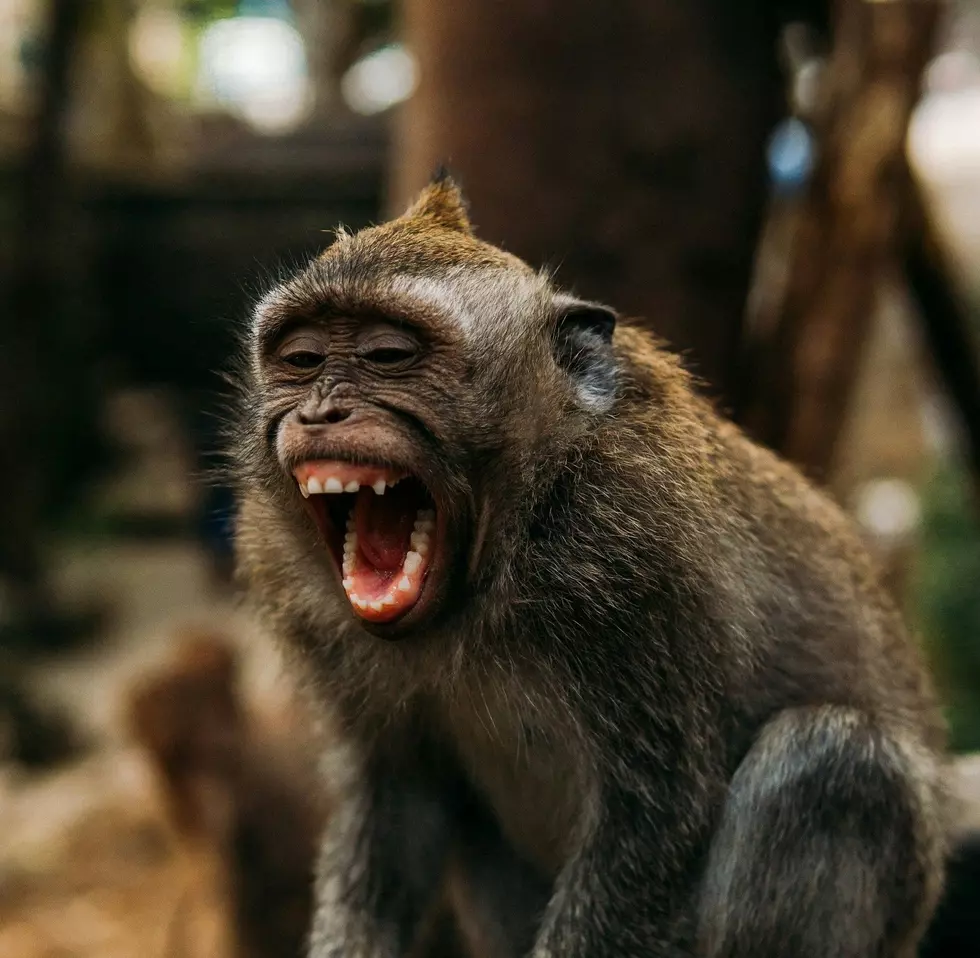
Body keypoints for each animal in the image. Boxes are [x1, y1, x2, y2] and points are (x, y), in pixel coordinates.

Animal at [231, 173, 950, 958]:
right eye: (302, 360)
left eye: (389, 355)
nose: (320, 413)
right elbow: (398, 795)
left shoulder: (634, 556)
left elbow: (654, 819)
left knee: (832, 760)